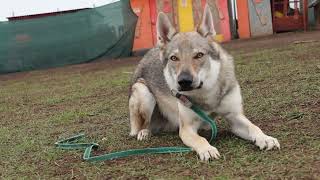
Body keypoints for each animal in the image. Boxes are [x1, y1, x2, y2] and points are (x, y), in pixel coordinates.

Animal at [128, 4, 280, 161]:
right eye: (174, 58)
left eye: (199, 55)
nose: (184, 81)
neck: (205, 94)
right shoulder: (186, 128)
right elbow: (200, 139)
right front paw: (207, 149)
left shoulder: (235, 117)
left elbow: (254, 127)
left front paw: (265, 138)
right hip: (143, 92)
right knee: (144, 125)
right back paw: (144, 132)